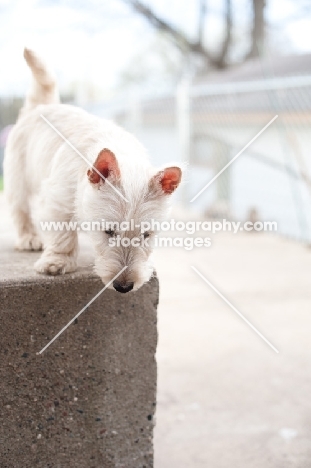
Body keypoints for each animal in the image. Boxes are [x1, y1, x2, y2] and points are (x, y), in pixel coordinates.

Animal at [3, 50, 183, 292]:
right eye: (108, 231)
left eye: (146, 235)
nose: (124, 287)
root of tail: (40, 107)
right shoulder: (58, 201)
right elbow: (62, 236)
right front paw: (57, 262)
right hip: (17, 177)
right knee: (20, 209)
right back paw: (29, 239)